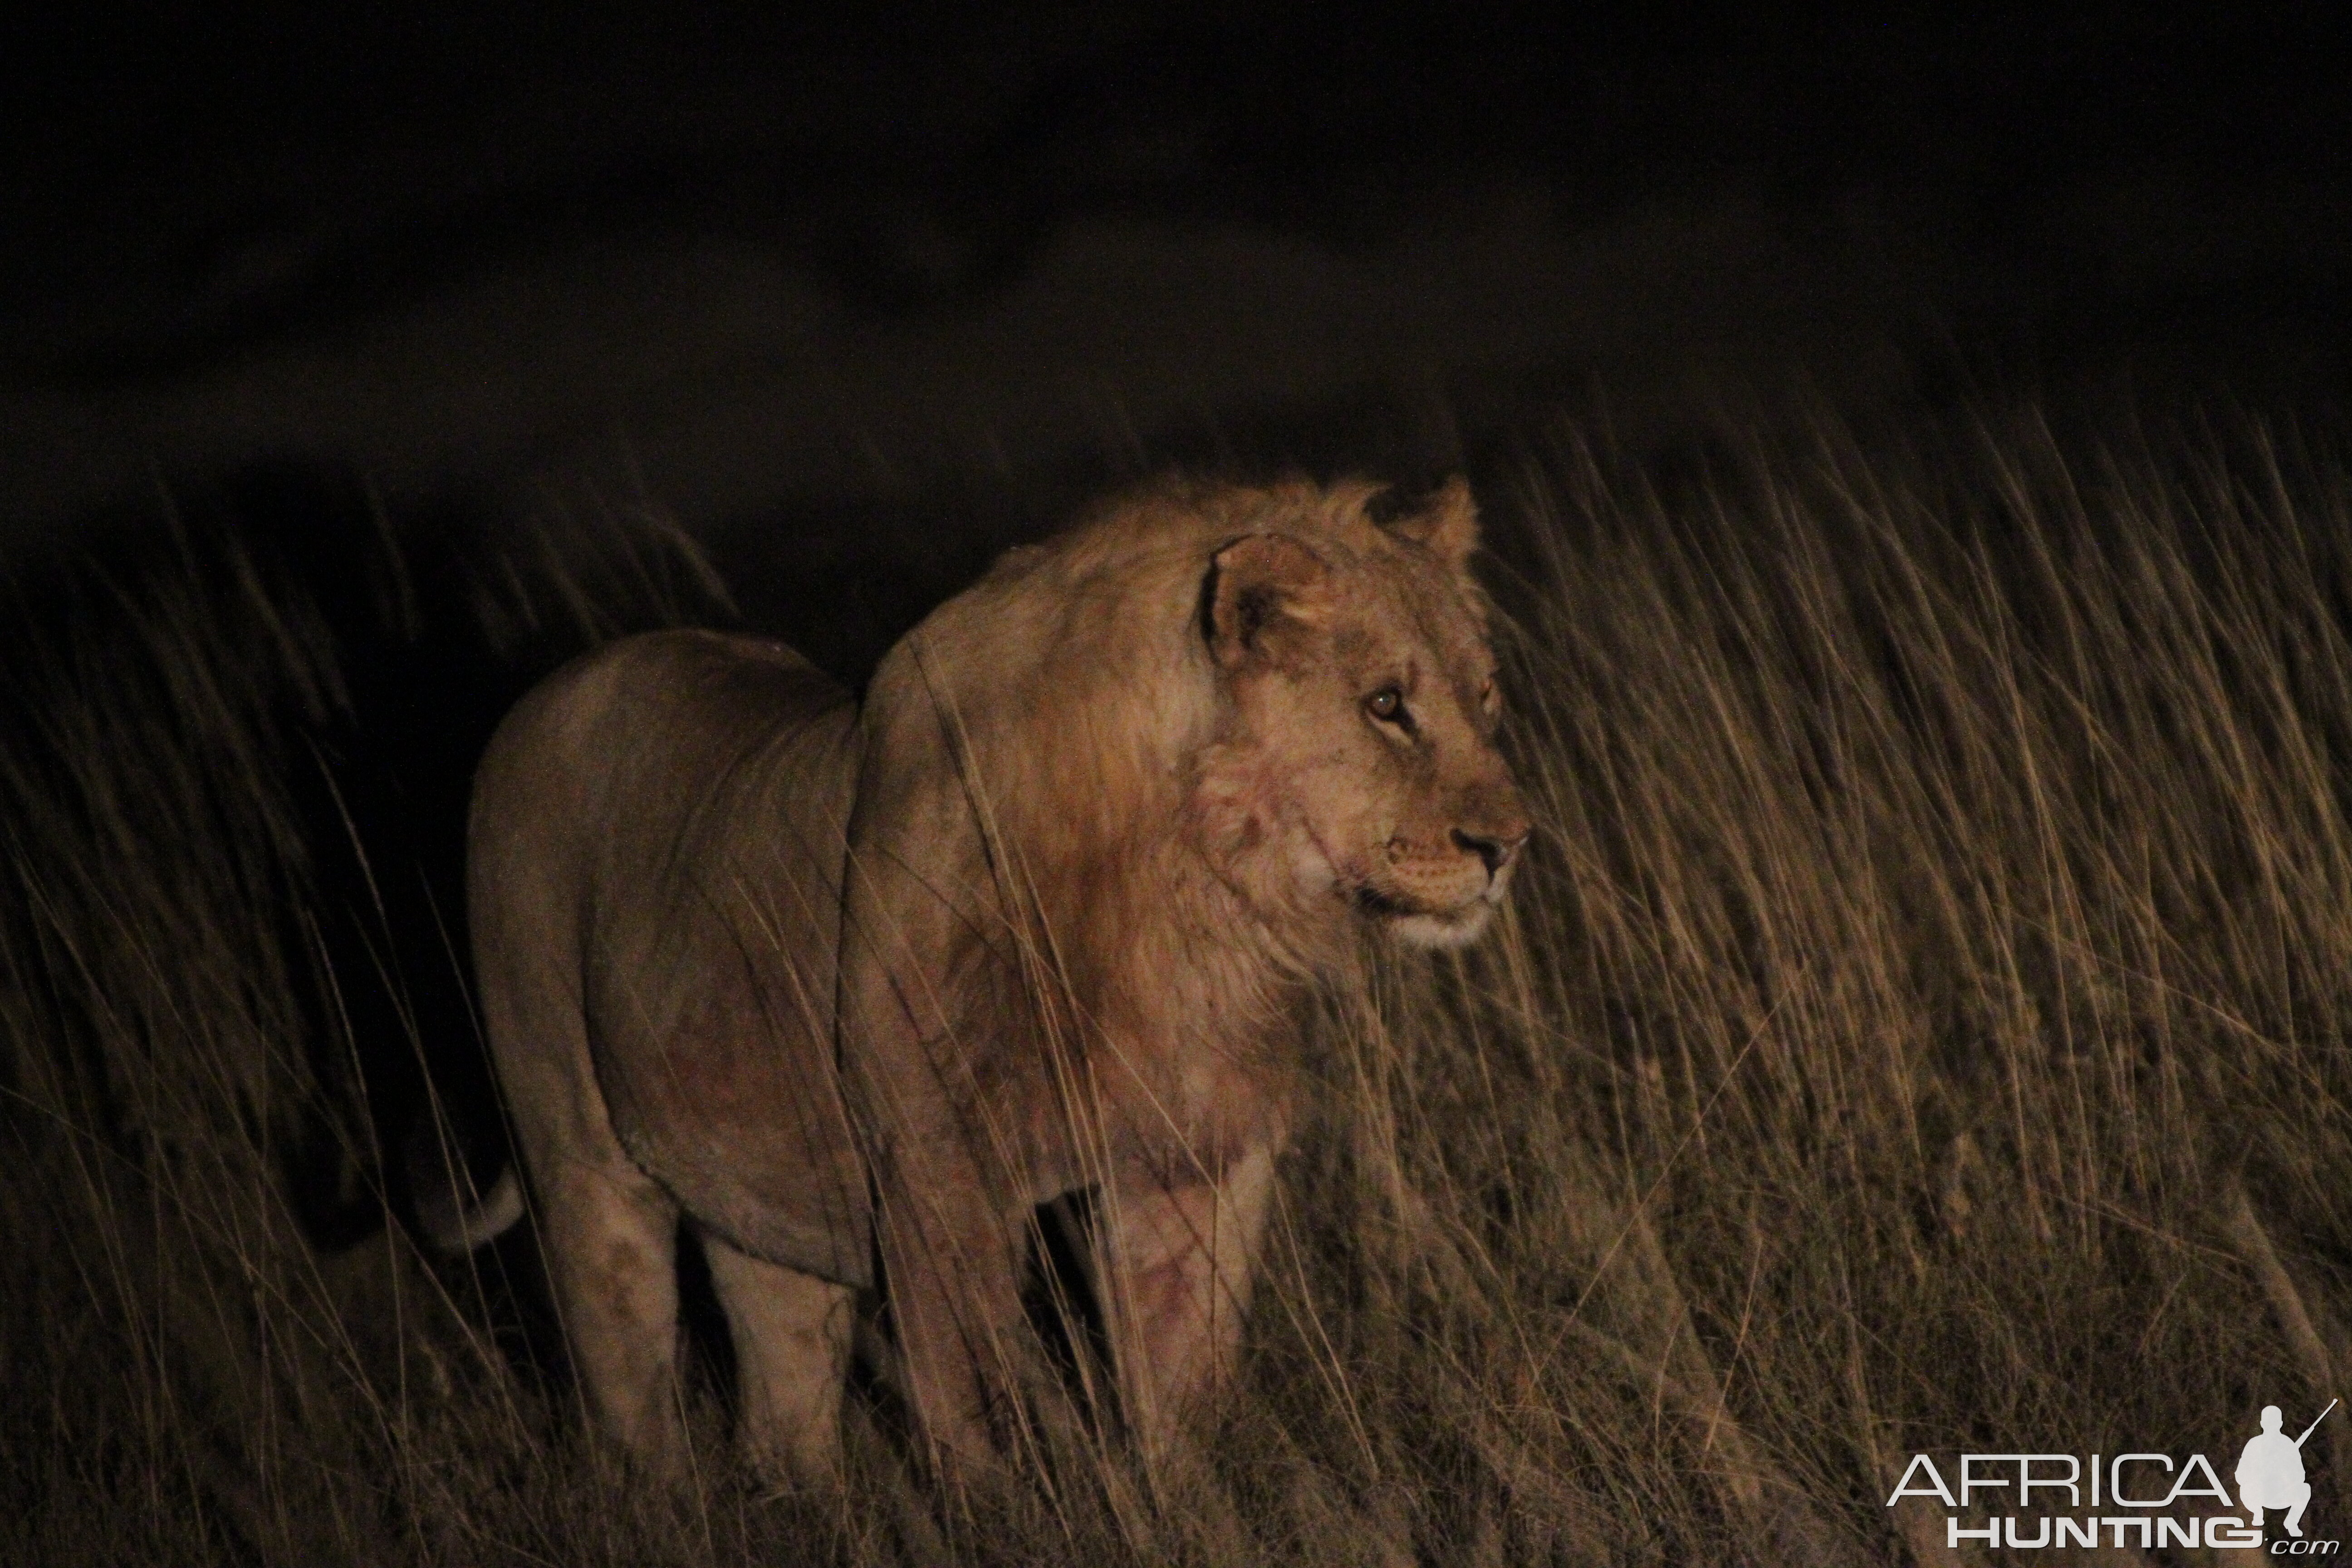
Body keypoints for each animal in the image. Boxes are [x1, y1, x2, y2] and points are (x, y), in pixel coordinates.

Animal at [446, 480, 1533, 1485]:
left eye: (1485, 697)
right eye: (1385, 704)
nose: (1507, 844)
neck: (1193, 896)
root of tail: (550, 691)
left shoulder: (1197, 1155)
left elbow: (1183, 1377)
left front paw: (1187, 1499)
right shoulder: (938, 1167)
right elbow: (969, 1395)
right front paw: (1002, 1509)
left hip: (754, 1192)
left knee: (783, 1395)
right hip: (581, 1159)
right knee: (630, 1391)